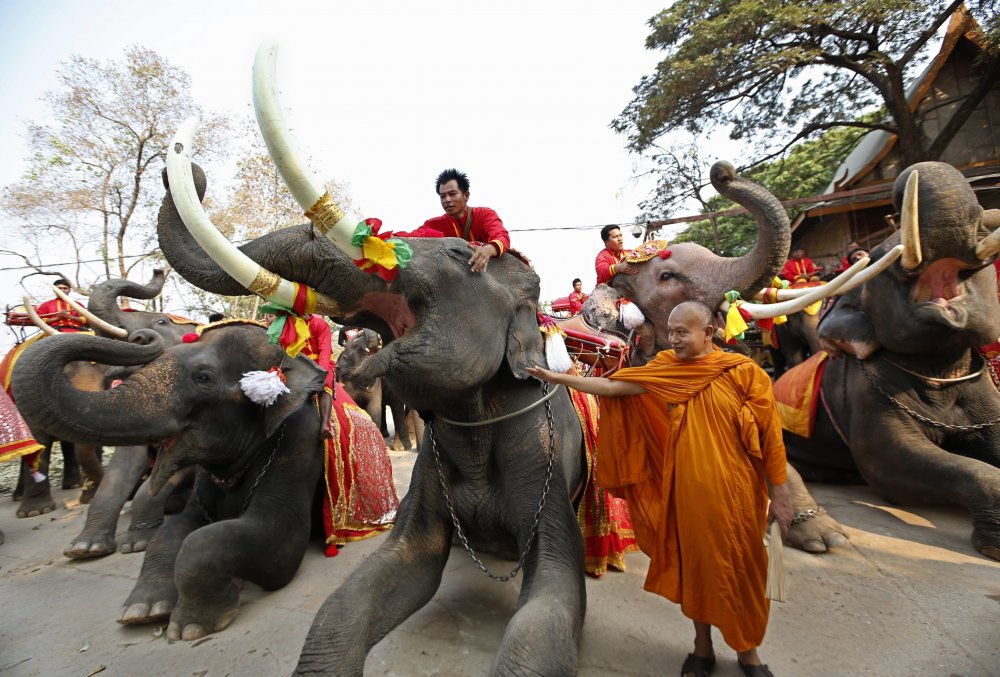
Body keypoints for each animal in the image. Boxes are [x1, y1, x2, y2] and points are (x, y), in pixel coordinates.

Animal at [10, 322, 332, 640]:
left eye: (203, 378)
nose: (142, 336)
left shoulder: (299, 441)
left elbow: (265, 540)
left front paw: (189, 626)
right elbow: (172, 528)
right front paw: (143, 610)